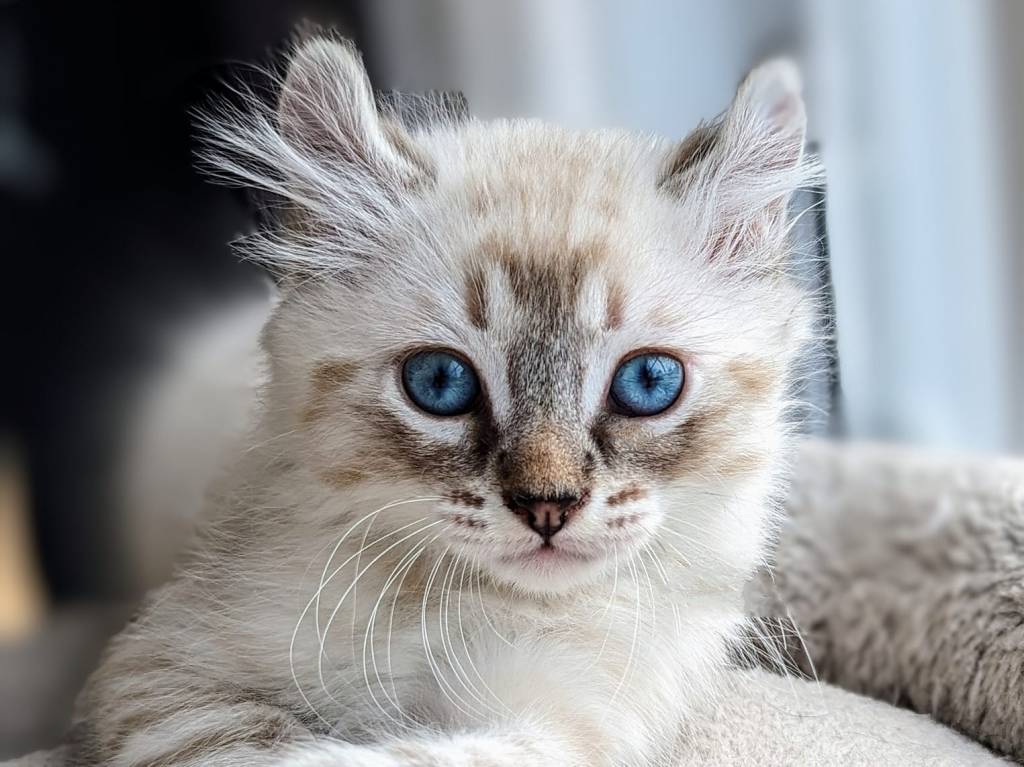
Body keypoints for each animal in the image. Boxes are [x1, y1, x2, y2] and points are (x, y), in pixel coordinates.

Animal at [72, 35, 819, 765]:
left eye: (648, 383)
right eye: (439, 382)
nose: (547, 507)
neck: (461, 601)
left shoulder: (555, 724)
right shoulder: (167, 673)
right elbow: (276, 750)